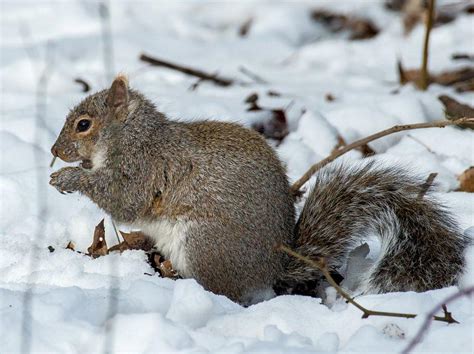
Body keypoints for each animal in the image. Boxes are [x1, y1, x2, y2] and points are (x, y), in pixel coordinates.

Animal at [49, 76, 470, 306]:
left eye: (84, 124)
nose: (54, 151)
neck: (133, 138)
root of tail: (273, 267)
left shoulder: (144, 170)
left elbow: (124, 202)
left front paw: (69, 179)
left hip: (206, 245)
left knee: (225, 293)